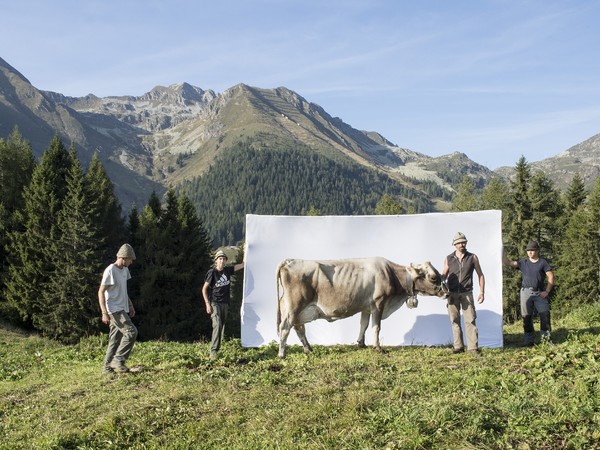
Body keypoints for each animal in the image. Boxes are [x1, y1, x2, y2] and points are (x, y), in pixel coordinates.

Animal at [274, 256, 448, 358]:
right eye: (433, 277)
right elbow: (376, 327)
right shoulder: (378, 303)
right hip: (294, 305)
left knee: (298, 328)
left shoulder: (366, 307)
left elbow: (363, 324)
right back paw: (282, 354)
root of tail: (289, 261)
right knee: (285, 327)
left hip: (292, 308)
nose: (446, 292)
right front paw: (378, 348)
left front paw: (361, 344)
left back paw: (308, 349)